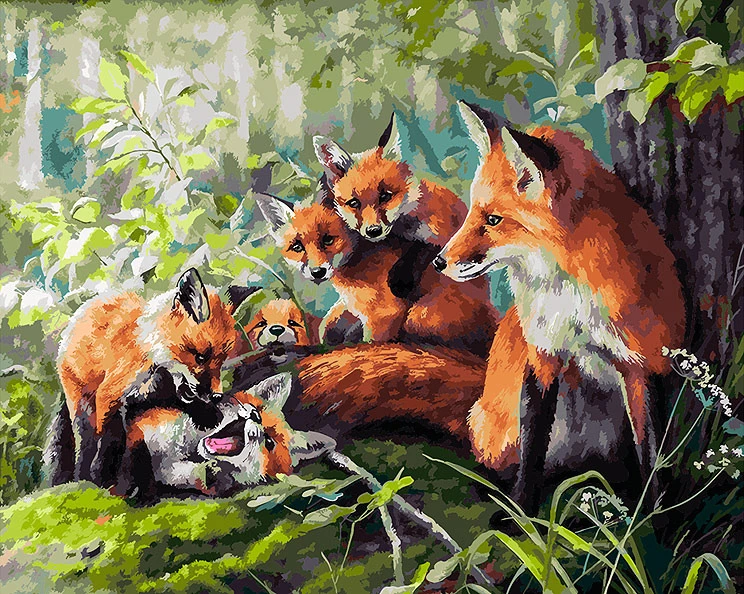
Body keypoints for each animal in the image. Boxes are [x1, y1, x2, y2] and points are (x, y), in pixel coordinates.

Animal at [52, 268, 255, 487]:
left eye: (221, 360)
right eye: (200, 357)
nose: (216, 395)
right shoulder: (110, 394)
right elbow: (109, 441)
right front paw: (100, 477)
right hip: (82, 407)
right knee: (85, 444)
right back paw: (81, 476)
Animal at [115, 373, 335, 501]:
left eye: (269, 442)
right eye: (256, 410)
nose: (254, 416)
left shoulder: (168, 472)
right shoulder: (145, 426)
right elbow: (133, 447)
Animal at [256, 191, 498, 355]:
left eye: (328, 239)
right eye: (297, 247)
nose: (317, 272)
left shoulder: (384, 315)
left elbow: (371, 343)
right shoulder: (350, 311)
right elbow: (328, 327)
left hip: (418, 316)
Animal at [432, 101, 686, 510]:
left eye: (493, 220)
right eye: (473, 211)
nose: (439, 262)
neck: (572, 299)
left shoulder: (642, 361)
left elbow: (651, 456)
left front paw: (654, 517)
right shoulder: (543, 355)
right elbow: (533, 450)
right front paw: (521, 515)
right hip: (513, 425)